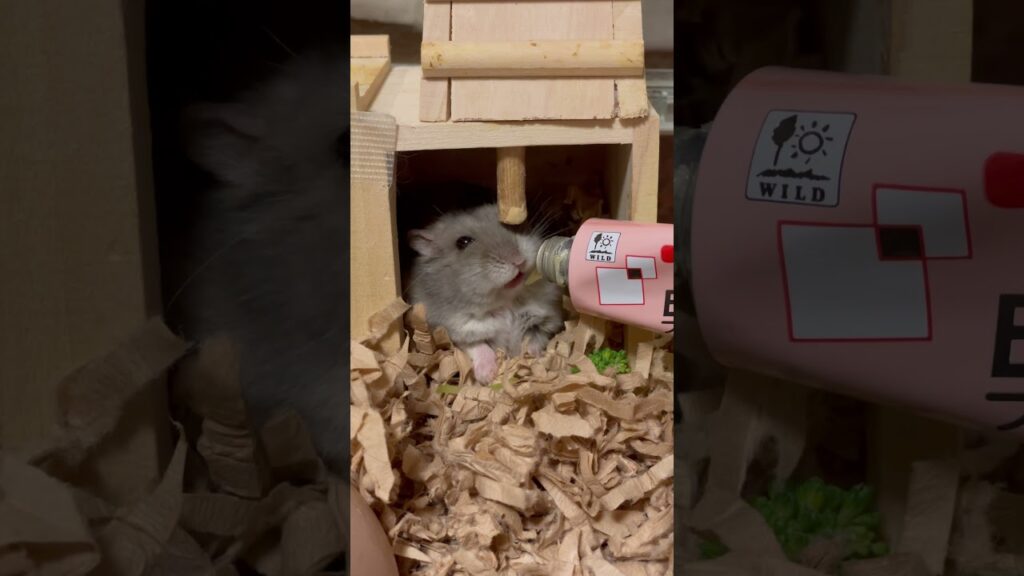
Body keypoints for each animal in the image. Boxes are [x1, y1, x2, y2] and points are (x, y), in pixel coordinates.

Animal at [407, 204, 565, 383]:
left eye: (514, 226)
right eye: (463, 242)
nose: (519, 261)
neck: (506, 302)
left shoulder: (543, 321)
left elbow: (533, 339)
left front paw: (531, 360)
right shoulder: (458, 332)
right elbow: (480, 347)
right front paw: (487, 376)